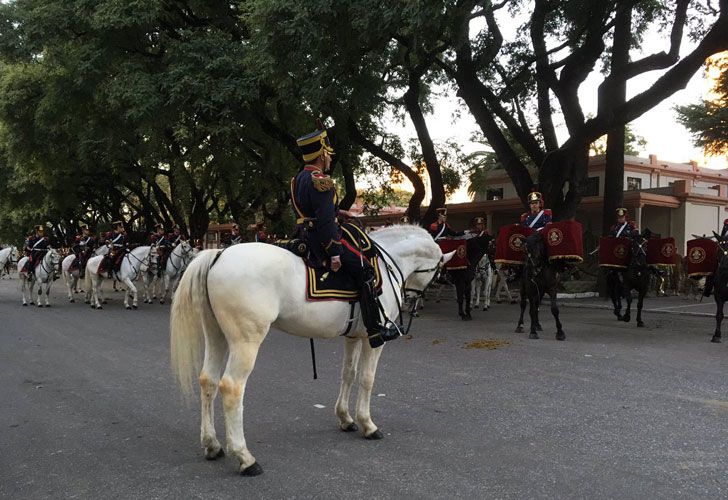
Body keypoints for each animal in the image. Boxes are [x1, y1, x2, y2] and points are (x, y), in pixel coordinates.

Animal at [171, 225, 456, 474]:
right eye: (436, 272)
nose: (414, 303)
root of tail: (219, 255)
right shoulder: (373, 339)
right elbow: (367, 379)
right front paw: (368, 424)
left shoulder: (353, 337)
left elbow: (348, 374)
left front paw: (346, 418)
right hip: (245, 343)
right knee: (231, 388)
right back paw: (245, 458)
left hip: (216, 335)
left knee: (208, 381)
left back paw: (212, 445)